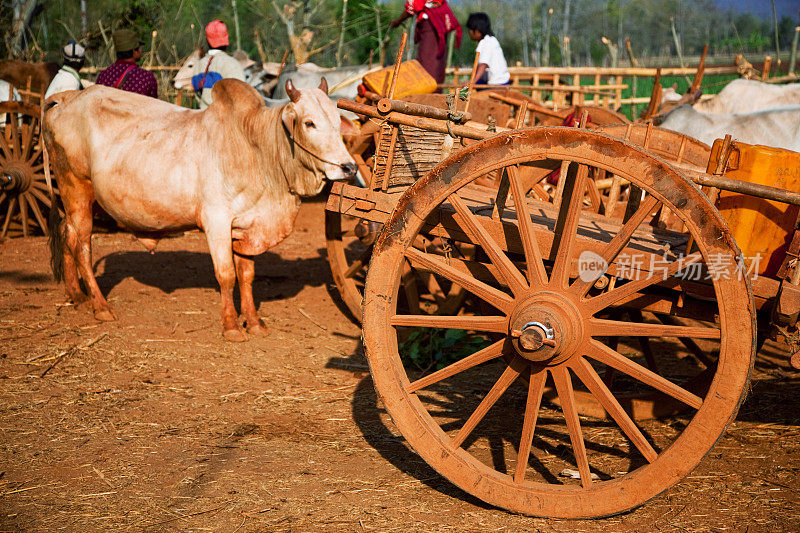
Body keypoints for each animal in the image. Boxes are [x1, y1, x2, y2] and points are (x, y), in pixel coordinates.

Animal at [43, 77, 356, 338]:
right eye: (309, 123)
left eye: (337, 122)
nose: (349, 167)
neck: (256, 147)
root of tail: (64, 98)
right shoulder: (216, 221)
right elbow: (226, 275)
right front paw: (231, 326)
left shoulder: (246, 225)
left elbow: (246, 276)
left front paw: (254, 323)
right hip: (76, 190)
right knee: (82, 246)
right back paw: (101, 306)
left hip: (81, 201)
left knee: (67, 234)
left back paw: (77, 296)